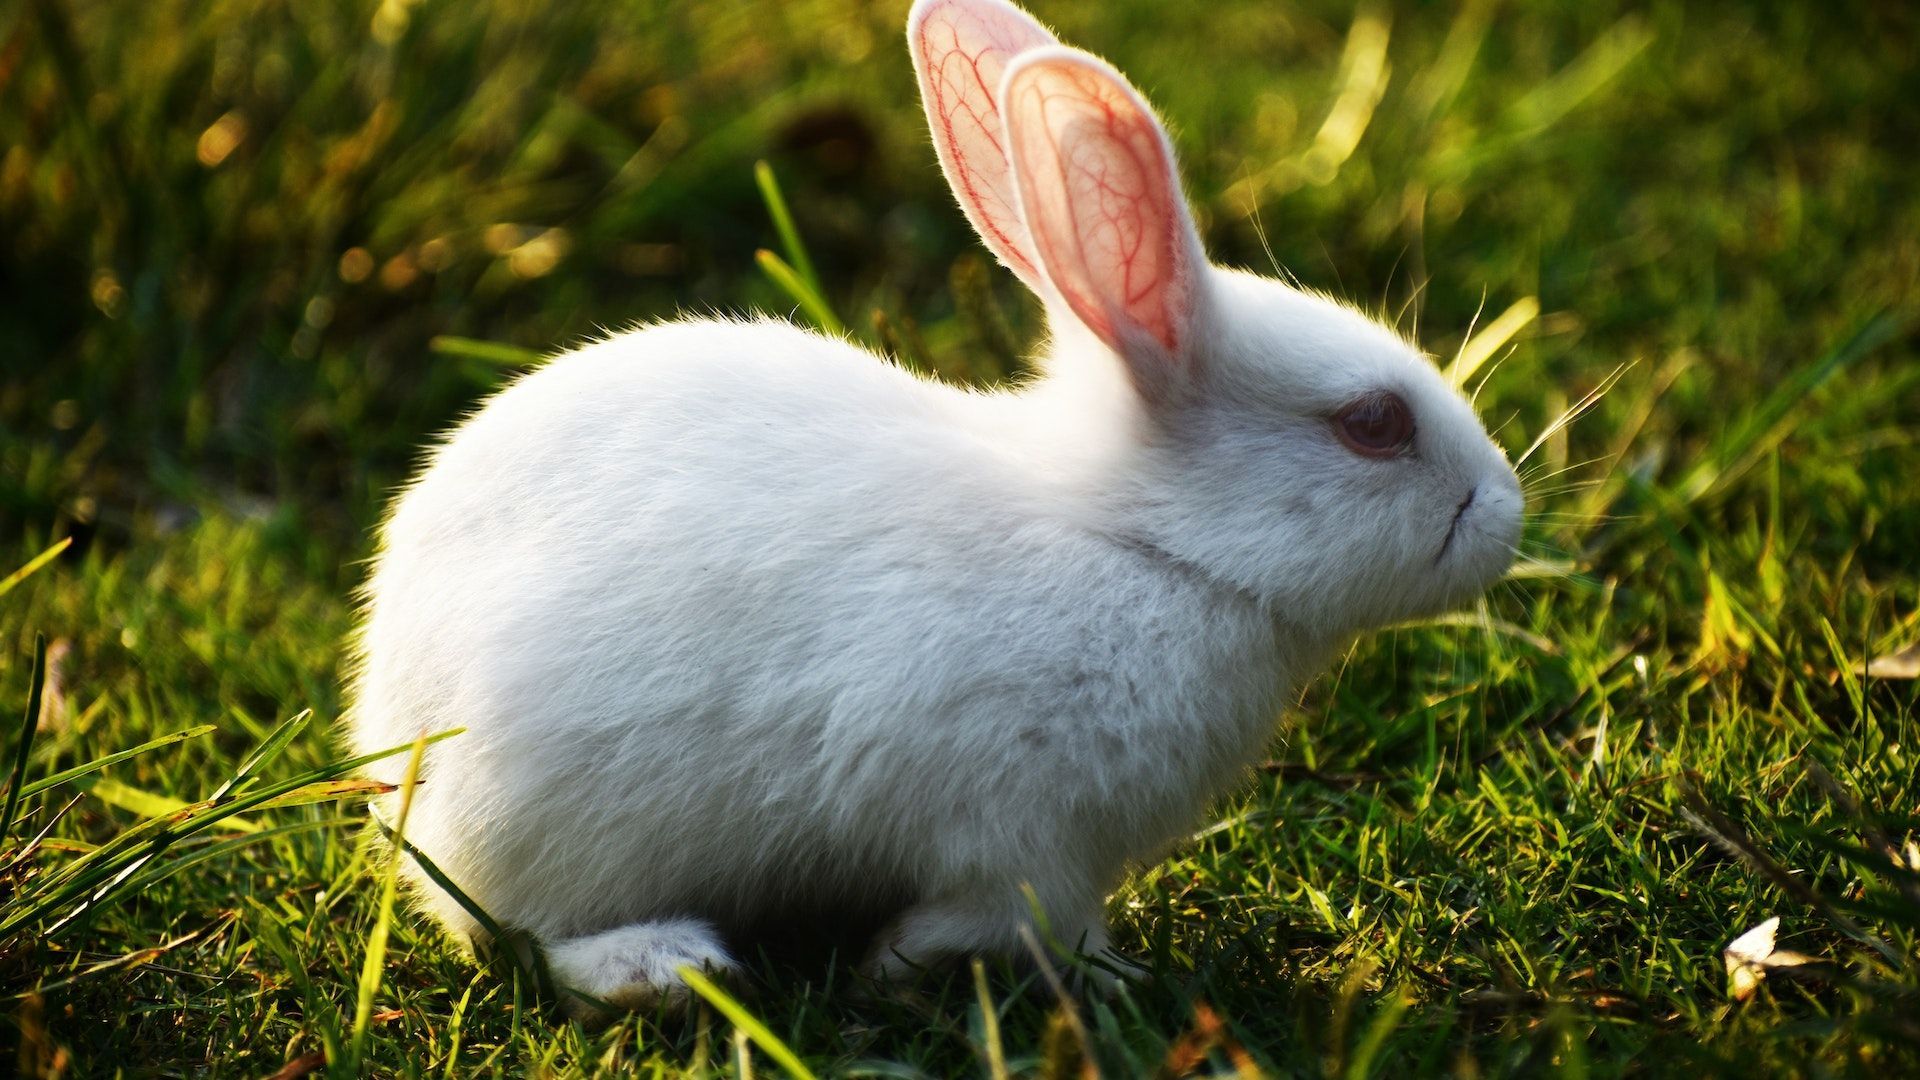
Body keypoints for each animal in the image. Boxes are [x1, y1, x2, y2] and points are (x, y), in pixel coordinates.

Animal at [347, 0, 1524, 1017]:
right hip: (544, 819)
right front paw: (1041, 975)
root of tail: (390, 727)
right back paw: (664, 965)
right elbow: (1018, 920)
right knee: (520, 931)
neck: (1144, 543)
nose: (1507, 513)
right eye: (1374, 423)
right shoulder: (1025, 839)